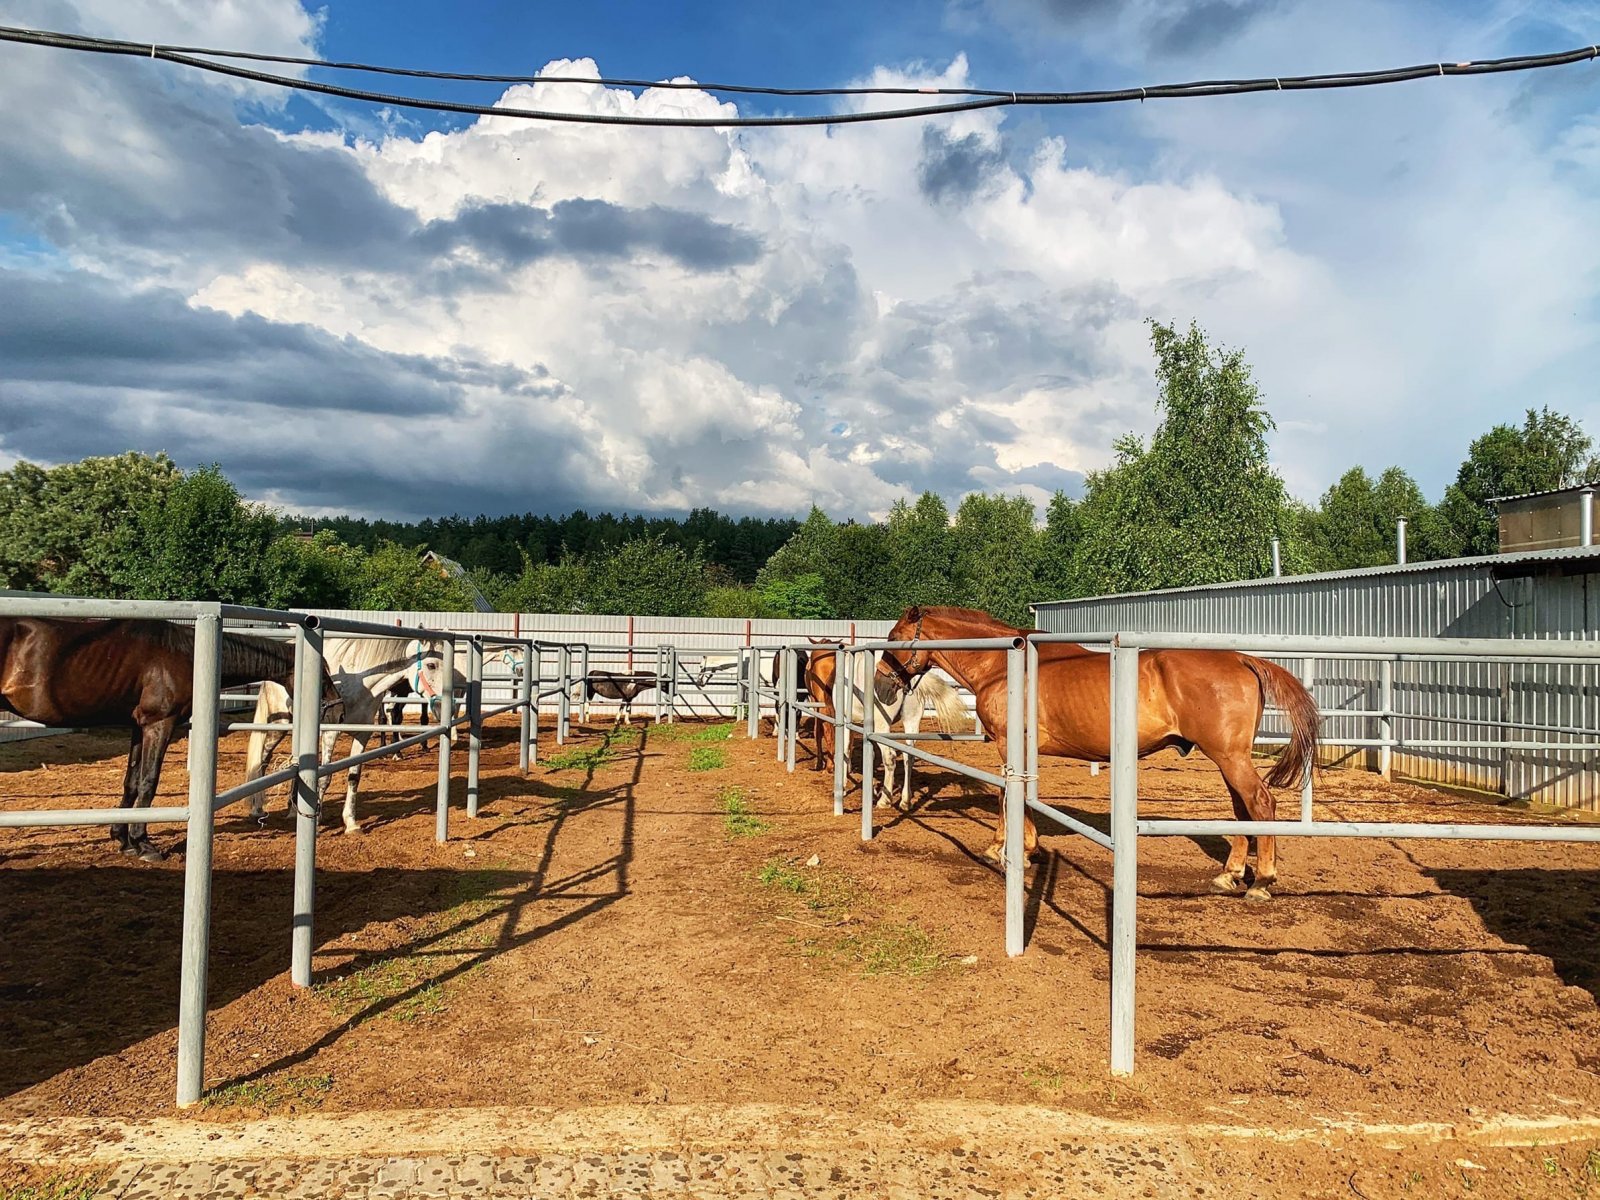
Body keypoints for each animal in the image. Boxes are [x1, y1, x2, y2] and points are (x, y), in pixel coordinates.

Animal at [0, 620, 329, 864]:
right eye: (322, 674)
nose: (335, 705)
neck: (186, 654)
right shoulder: (159, 724)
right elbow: (149, 781)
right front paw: (144, 845)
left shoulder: (139, 726)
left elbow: (132, 782)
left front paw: (123, 840)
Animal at [243, 640, 467, 838]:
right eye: (431, 665)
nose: (448, 707)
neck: (361, 686)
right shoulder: (331, 733)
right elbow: (324, 778)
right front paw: (317, 822)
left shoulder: (362, 735)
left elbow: (353, 777)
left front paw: (351, 823)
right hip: (279, 725)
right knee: (263, 758)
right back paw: (257, 808)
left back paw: (291, 809)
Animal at [883, 604, 1318, 896]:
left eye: (894, 638)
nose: (885, 681)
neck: (1004, 666)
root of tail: (1243, 659)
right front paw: (1018, 847)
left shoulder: (1010, 745)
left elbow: (1010, 796)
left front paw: (1008, 850)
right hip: (1228, 758)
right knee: (1242, 809)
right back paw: (1230, 875)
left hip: (1230, 757)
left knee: (1260, 803)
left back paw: (1262, 881)